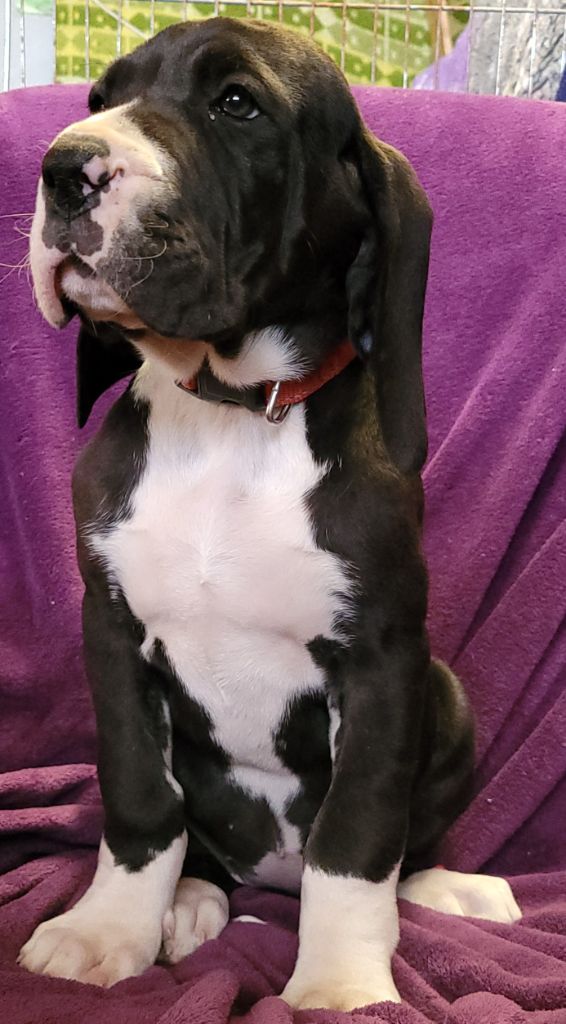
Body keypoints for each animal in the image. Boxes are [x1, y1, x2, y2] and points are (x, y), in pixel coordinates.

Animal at [19, 17, 521, 1009]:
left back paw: (448, 886)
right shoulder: (112, 635)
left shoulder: (381, 663)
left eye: (237, 105)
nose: (63, 169)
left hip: (445, 696)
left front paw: (340, 984)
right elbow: (141, 803)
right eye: (101, 99)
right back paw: (194, 899)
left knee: (401, 848)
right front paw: (107, 932)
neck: (234, 414)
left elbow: (356, 838)